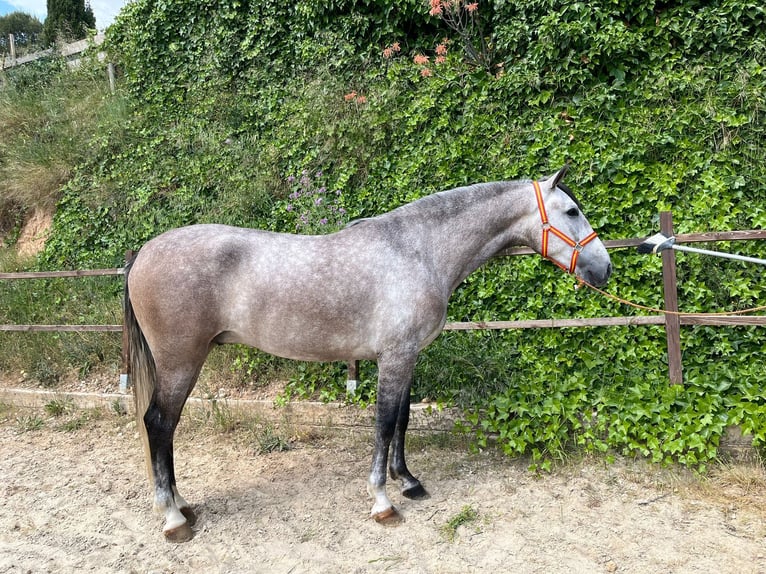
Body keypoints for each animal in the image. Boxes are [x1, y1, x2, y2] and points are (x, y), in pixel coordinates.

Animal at [123, 165, 612, 542]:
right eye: (572, 211)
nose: (604, 269)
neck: (418, 250)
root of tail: (142, 253)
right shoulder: (394, 357)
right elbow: (383, 424)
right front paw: (383, 502)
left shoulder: (406, 356)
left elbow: (402, 420)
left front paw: (408, 481)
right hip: (181, 362)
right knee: (160, 423)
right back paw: (173, 518)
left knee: (164, 428)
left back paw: (182, 505)